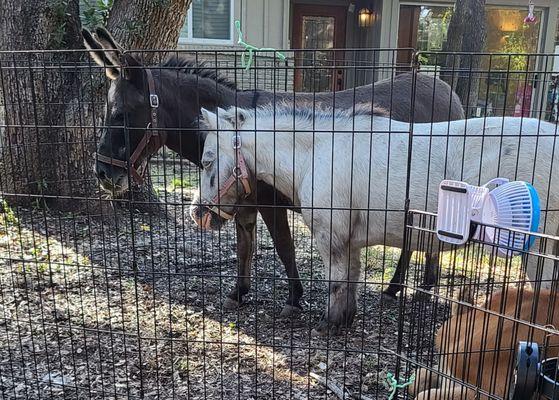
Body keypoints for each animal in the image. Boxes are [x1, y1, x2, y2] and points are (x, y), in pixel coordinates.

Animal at [191, 104, 559, 334]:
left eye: (207, 161)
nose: (198, 213)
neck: (317, 152)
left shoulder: (330, 237)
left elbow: (336, 281)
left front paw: (328, 324)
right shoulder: (349, 241)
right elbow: (351, 279)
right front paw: (345, 320)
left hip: (539, 251)